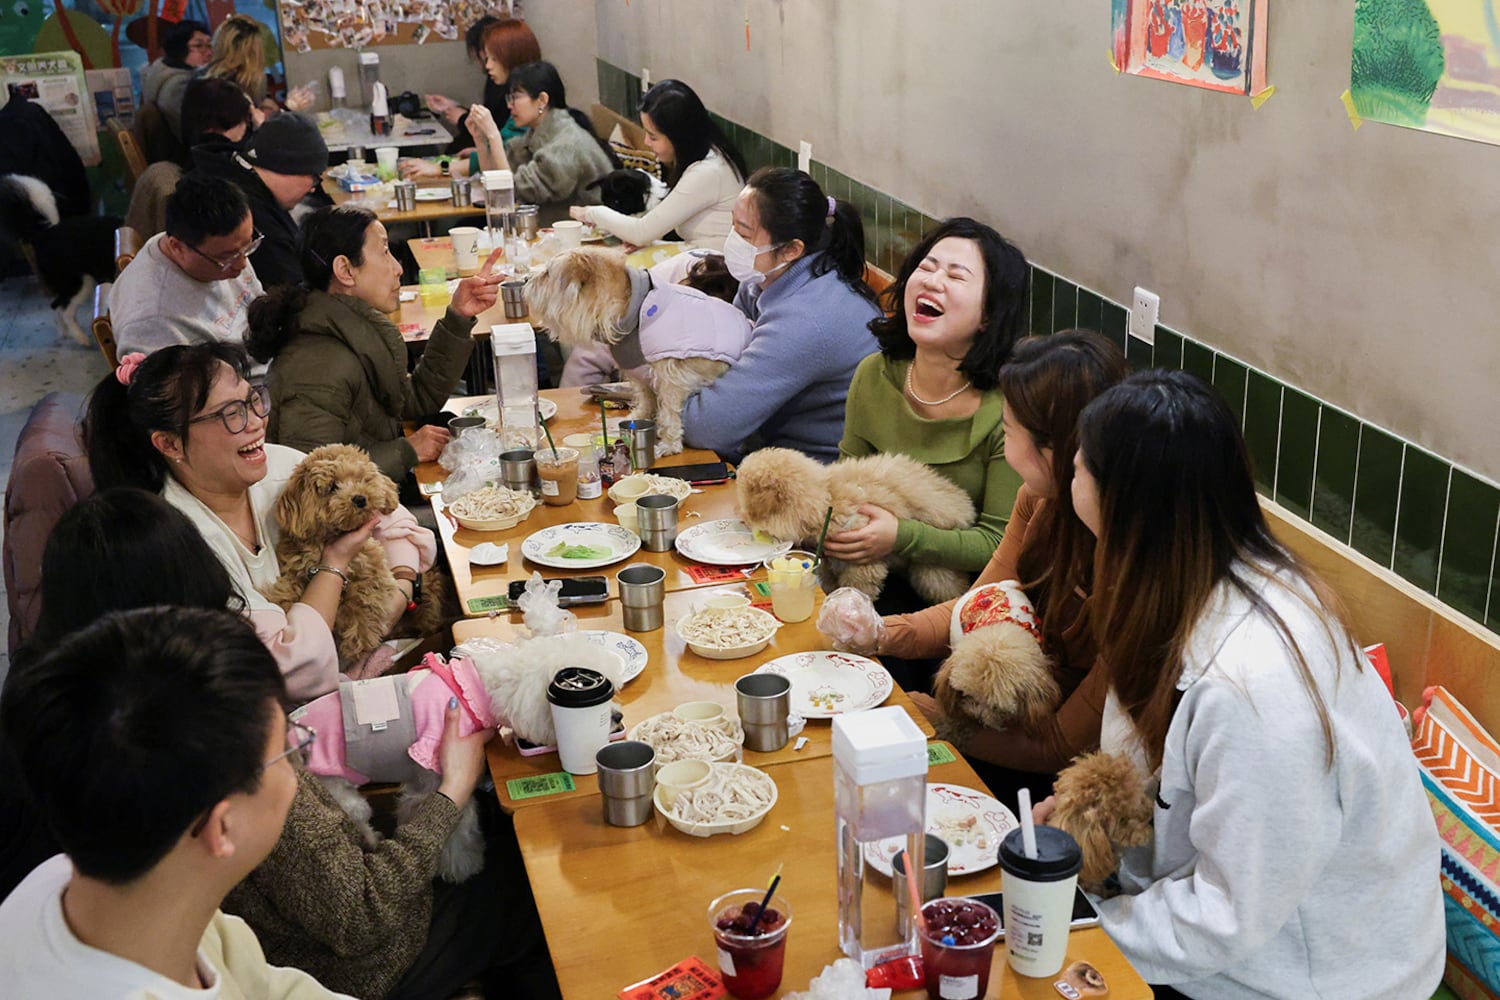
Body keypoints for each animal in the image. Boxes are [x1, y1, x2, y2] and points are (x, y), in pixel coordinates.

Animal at [0, 172, 120, 344]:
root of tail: (45, 233)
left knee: (56, 306)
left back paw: (64, 332)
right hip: (78, 282)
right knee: (65, 311)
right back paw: (82, 338)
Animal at [265, 446, 441, 665]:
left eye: (362, 479)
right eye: (332, 486)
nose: (359, 498)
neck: (331, 536)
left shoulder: (370, 567)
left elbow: (361, 599)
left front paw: (359, 637)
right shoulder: (296, 567)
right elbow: (288, 589)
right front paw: (279, 603)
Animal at [525, 247, 756, 458]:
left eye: (547, 273)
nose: (525, 278)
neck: (632, 310)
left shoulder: (671, 376)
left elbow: (669, 411)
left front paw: (669, 444)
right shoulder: (642, 374)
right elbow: (647, 399)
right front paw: (638, 417)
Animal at [735, 449, 972, 605]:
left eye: (747, 502)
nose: (741, 518)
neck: (826, 500)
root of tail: (965, 508)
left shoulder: (862, 565)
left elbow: (855, 589)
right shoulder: (829, 564)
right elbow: (830, 585)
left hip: (934, 572)